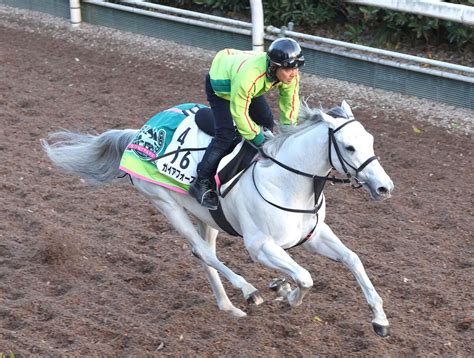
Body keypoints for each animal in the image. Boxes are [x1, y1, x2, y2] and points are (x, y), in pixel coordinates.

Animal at [42, 100, 394, 336]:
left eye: (371, 141)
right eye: (349, 147)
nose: (384, 187)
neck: (284, 180)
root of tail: (138, 135)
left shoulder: (313, 236)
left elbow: (353, 259)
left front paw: (380, 320)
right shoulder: (260, 246)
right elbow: (306, 277)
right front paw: (285, 293)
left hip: (207, 219)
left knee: (205, 254)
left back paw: (228, 306)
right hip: (164, 204)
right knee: (202, 251)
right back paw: (248, 292)